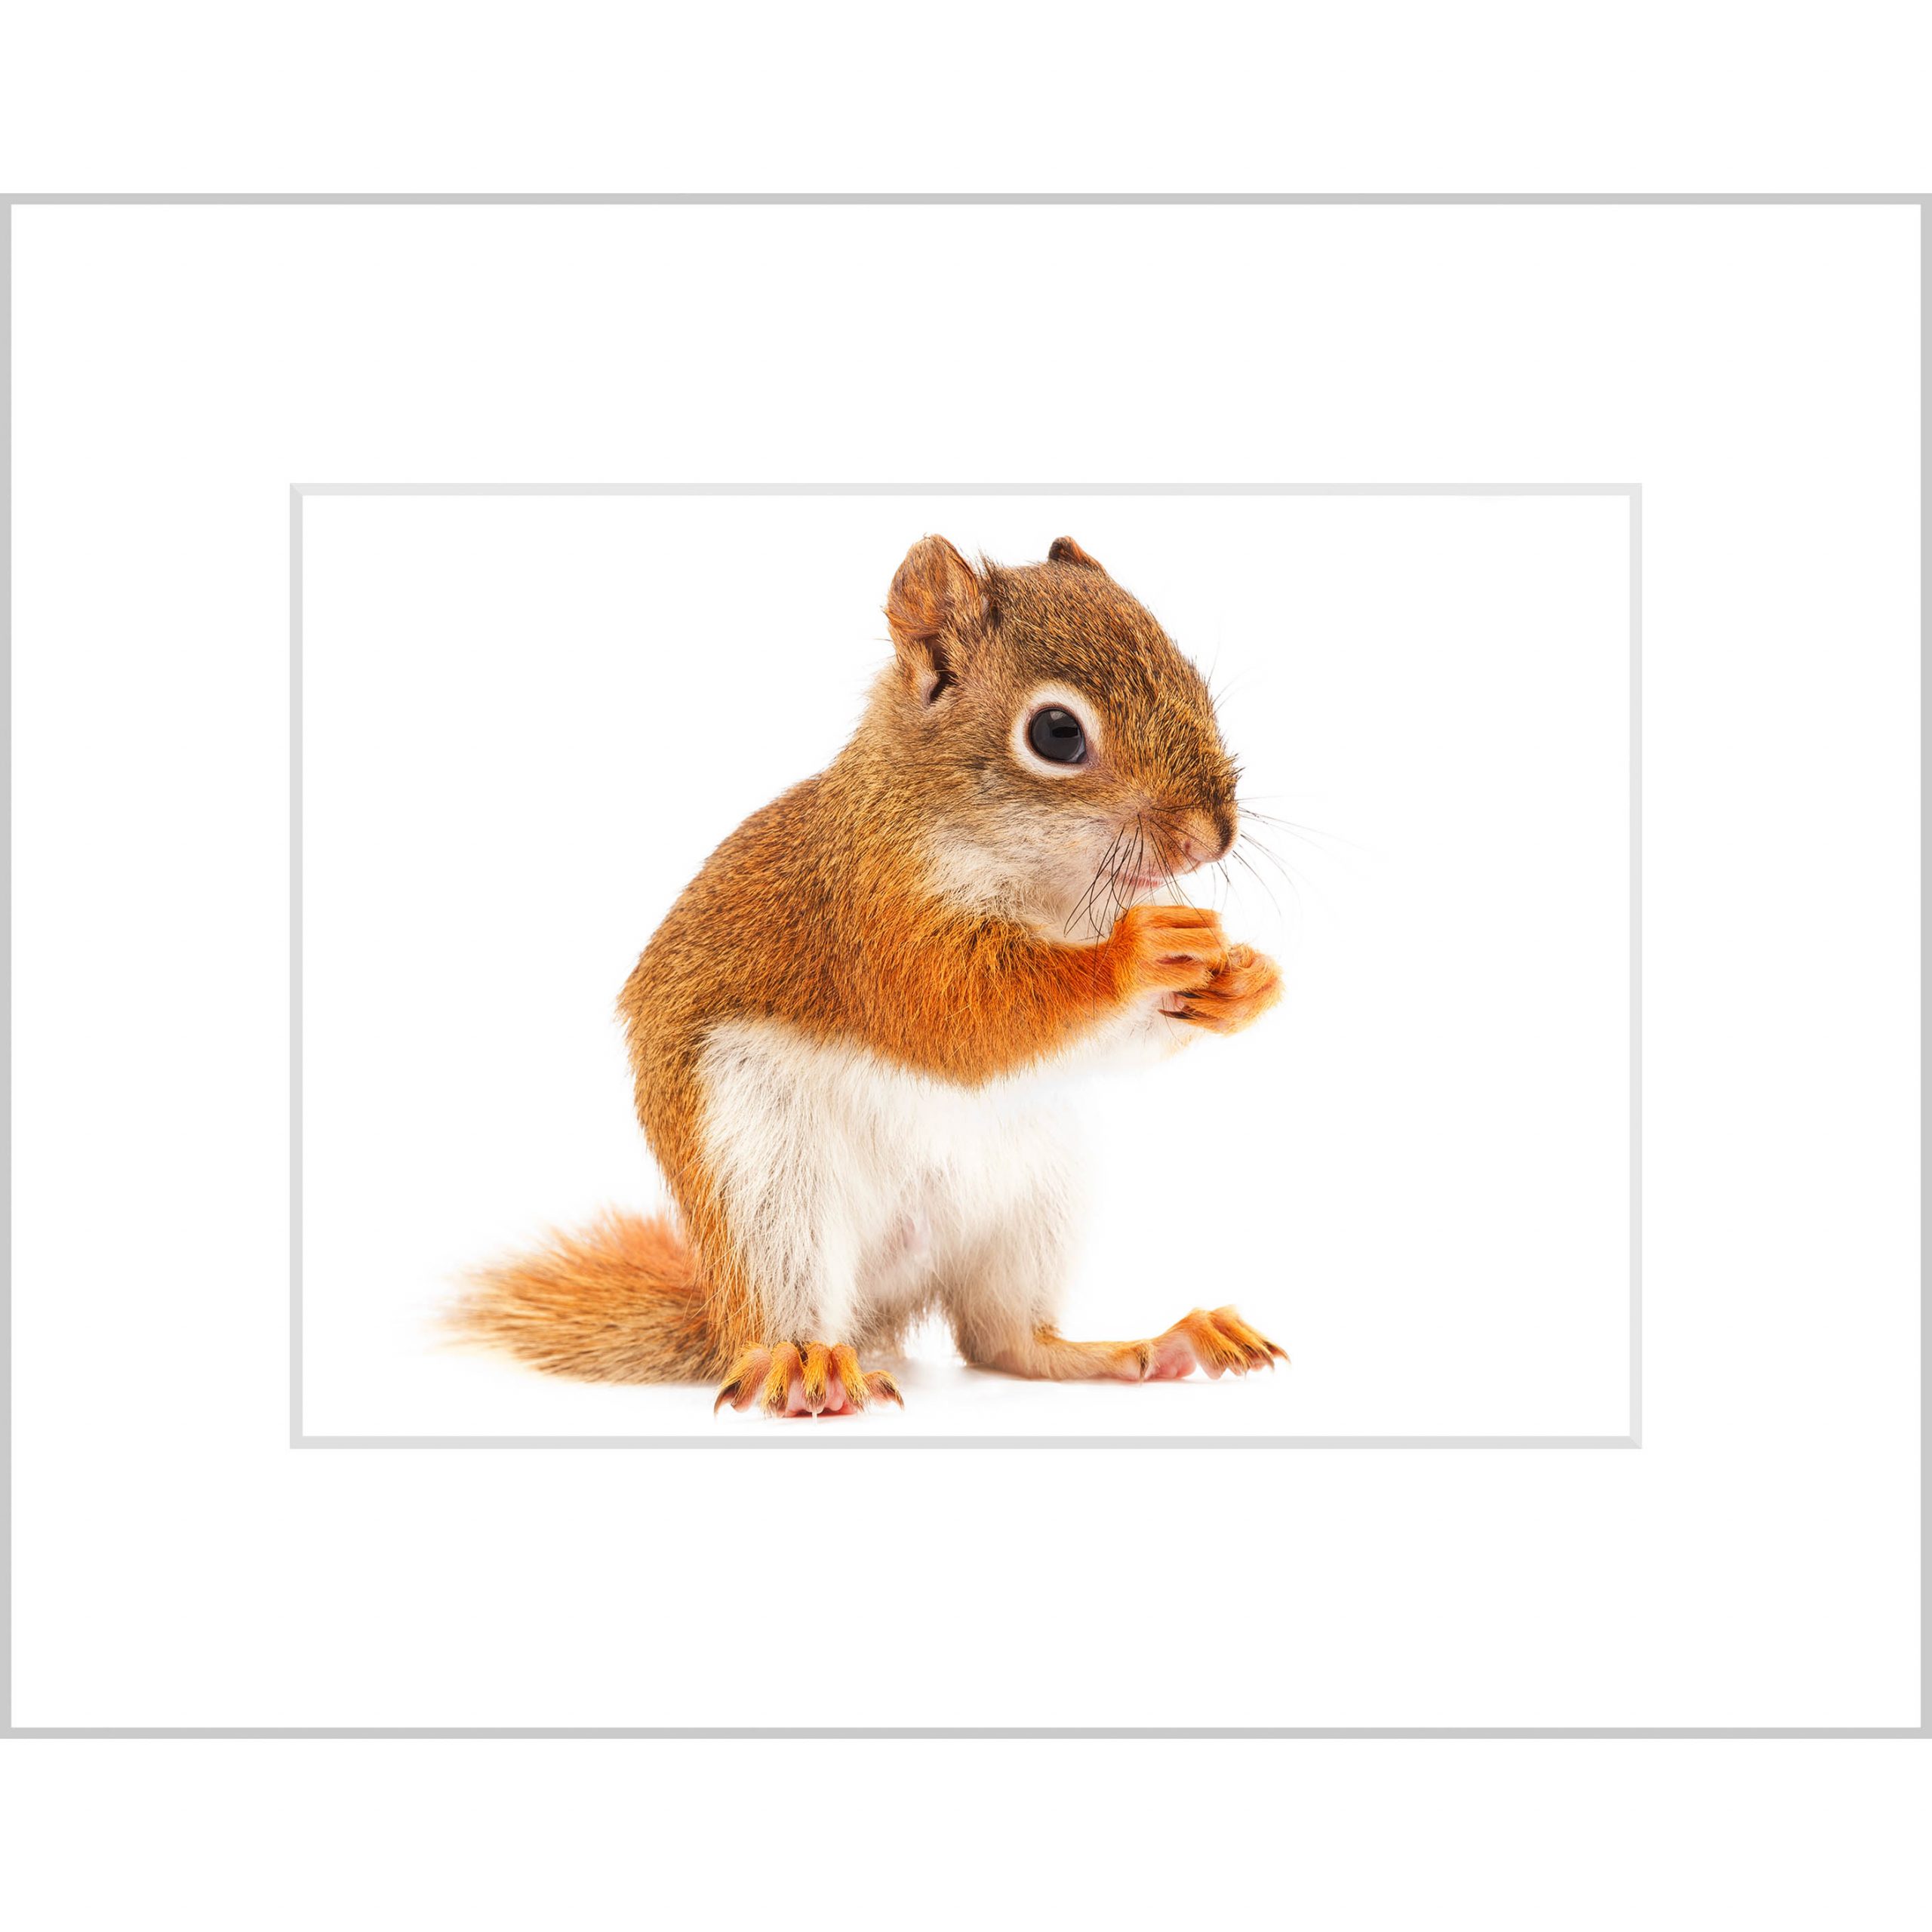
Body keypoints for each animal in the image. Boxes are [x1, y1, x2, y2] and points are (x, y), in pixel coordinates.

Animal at [454, 534, 1286, 1417]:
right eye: (1058, 733)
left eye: (1192, 678)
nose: (1211, 837)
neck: (1052, 894)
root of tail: (883, 1297)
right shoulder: (872, 921)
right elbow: (963, 1014)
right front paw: (1132, 954)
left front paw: (1245, 981)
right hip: (765, 1188)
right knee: (787, 1320)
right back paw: (805, 1365)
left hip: (1037, 1195)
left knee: (1003, 1339)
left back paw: (1151, 1343)